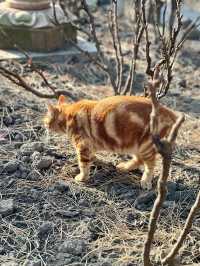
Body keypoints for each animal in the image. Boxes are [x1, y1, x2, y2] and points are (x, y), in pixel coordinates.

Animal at [43, 95, 177, 189]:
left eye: (46, 118)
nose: (43, 123)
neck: (68, 115)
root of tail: (171, 113)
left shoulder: (83, 146)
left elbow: (83, 164)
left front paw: (82, 177)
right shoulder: (89, 146)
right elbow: (91, 157)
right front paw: (96, 160)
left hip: (146, 145)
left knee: (150, 165)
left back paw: (145, 181)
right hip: (136, 145)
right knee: (139, 159)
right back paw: (124, 167)